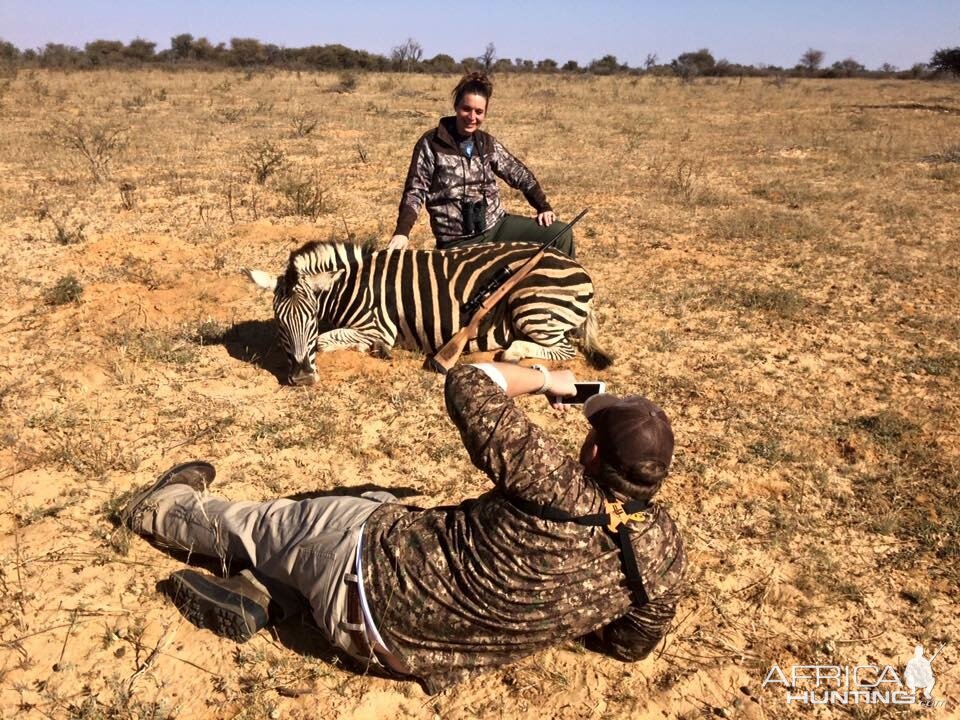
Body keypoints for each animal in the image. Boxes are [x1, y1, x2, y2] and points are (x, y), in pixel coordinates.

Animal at [244, 240, 612, 388]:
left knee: (561, 348)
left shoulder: (379, 327)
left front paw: (375, 351)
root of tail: (577, 266)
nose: (302, 379)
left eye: (311, 317)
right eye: (280, 323)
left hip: (531, 305)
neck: (352, 286)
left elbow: (323, 341)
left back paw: (510, 352)